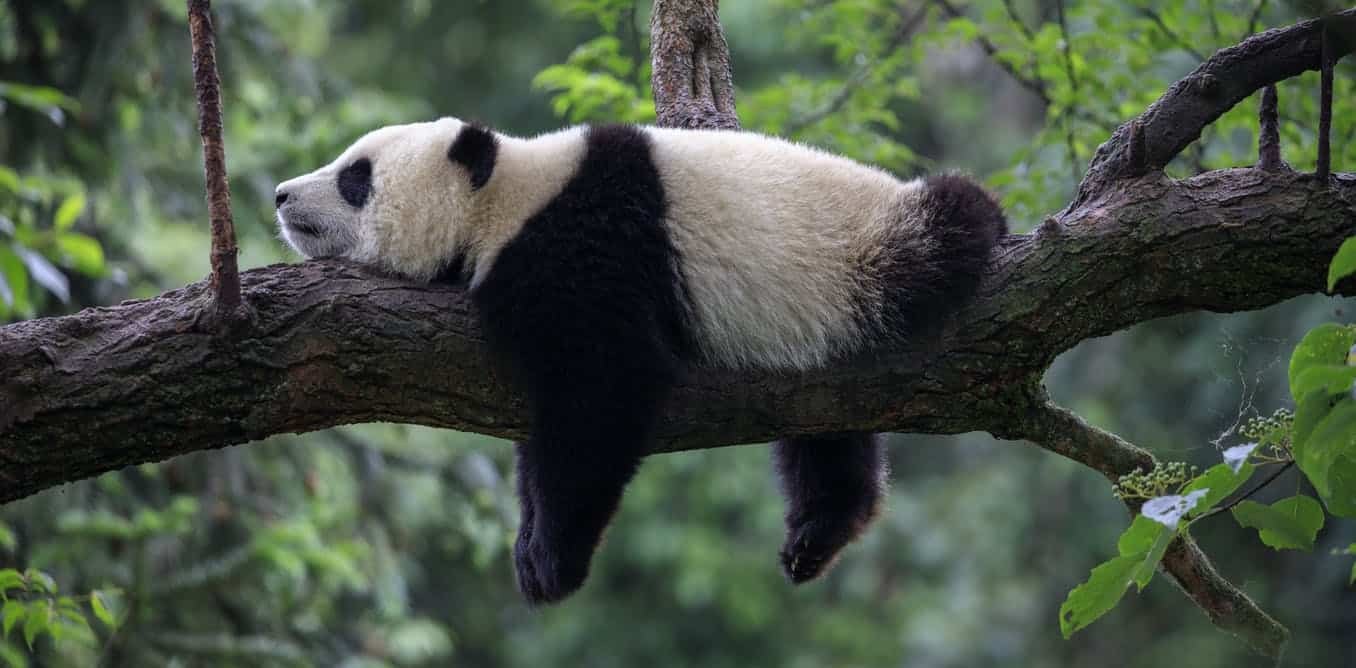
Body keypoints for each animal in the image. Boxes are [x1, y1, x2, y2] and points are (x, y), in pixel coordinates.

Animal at [275, 117, 1006, 605]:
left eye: (356, 177)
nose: (281, 195)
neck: (506, 197)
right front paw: (529, 541)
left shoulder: (588, 247)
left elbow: (601, 393)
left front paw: (552, 560)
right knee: (827, 434)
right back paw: (818, 533)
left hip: (867, 254)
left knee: (947, 226)